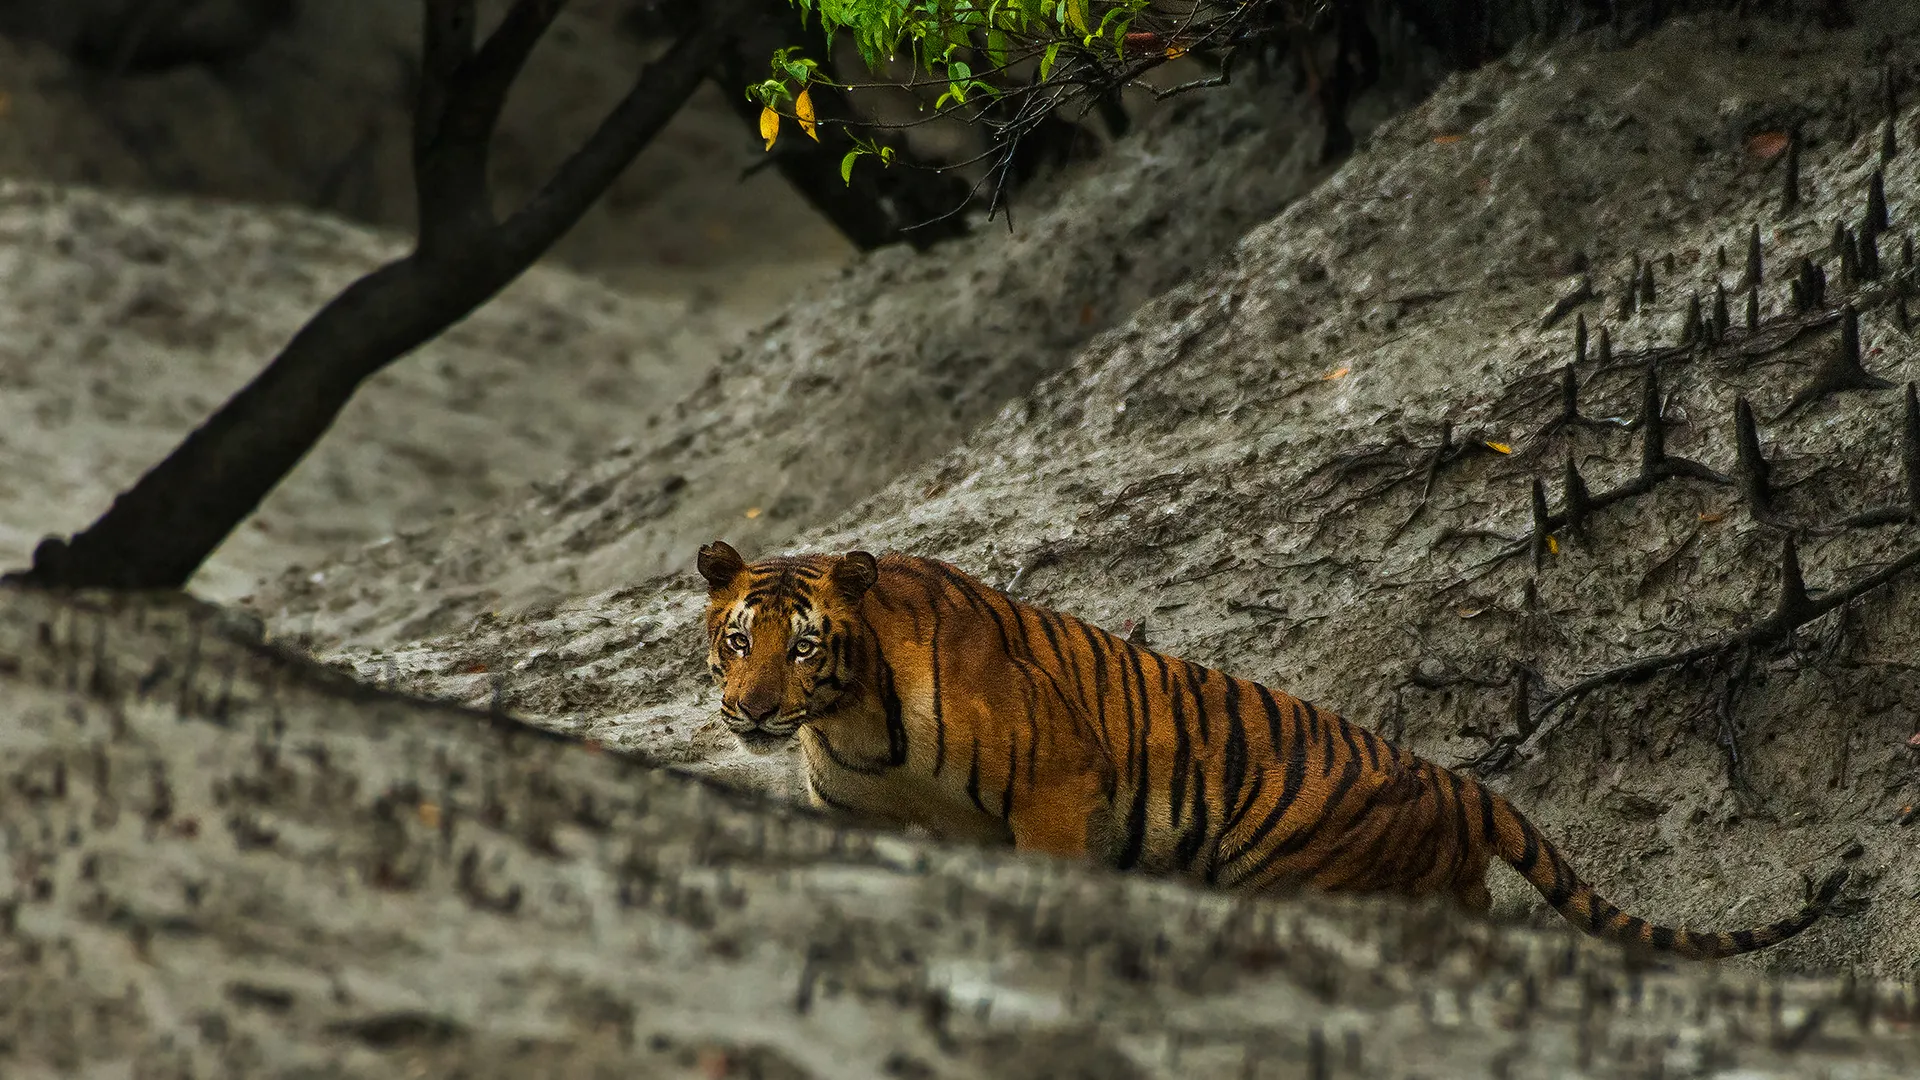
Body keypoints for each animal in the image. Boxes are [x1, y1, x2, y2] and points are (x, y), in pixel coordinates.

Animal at [702, 538, 1843, 957]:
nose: (750, 712)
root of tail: (1455, 779)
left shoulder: (1057, 793)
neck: (853, 720)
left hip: (1307, 879)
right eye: (738, 641)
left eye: (803, 646)